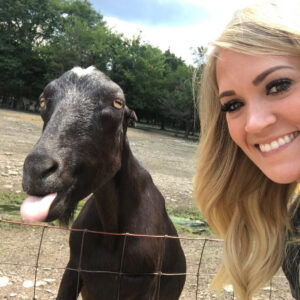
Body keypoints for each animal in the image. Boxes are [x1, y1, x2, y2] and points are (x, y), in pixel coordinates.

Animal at [21, 67, 186, 298]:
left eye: (117, 103)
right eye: (43, 100)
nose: (37, 169)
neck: (111, 234)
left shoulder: (147, 284)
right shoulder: (74, 267)